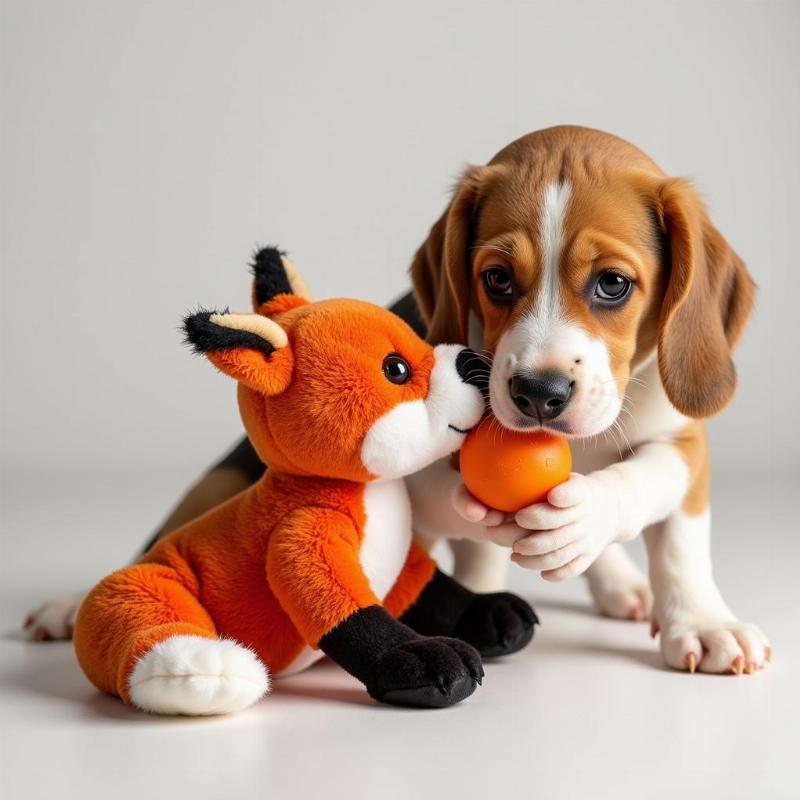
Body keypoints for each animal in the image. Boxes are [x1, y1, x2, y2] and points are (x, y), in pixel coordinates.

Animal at [406, 125, 768, 676]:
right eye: (497, 278)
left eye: (613, 283)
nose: (538, 393)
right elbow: (458, 518)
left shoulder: (683, 443)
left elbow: (671, 527)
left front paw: (705, 623)